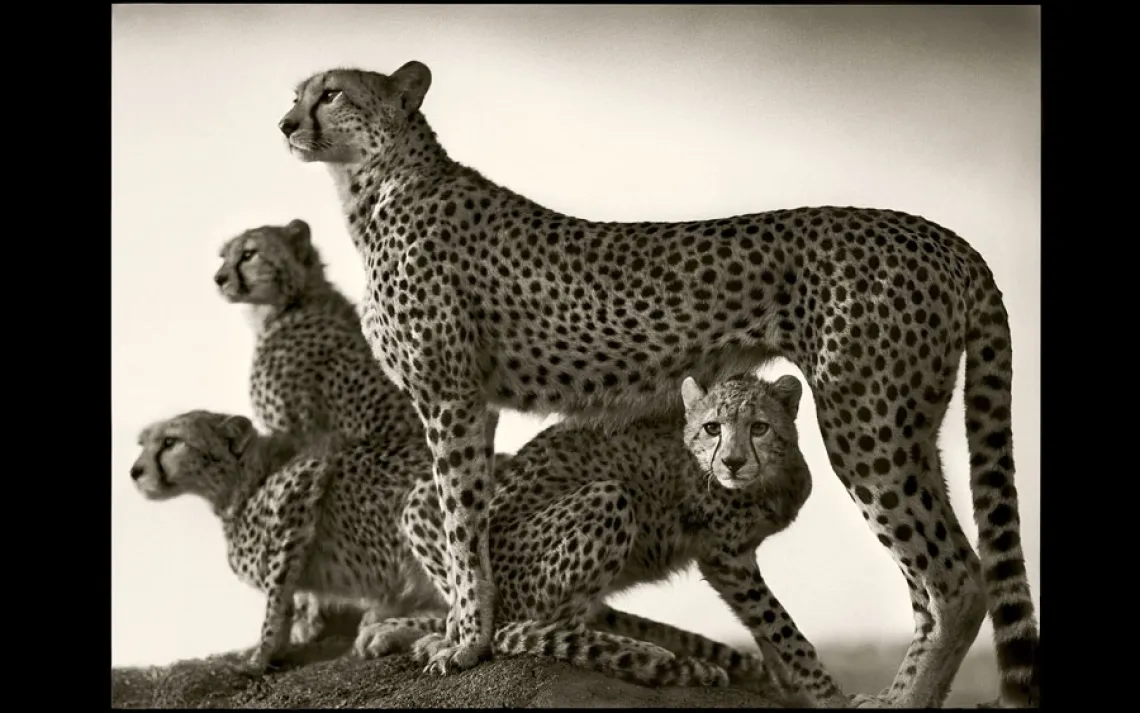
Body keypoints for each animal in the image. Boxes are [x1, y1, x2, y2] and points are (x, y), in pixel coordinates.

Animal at [127, 409, 444, 672]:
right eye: (143, 444)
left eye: (170, 442)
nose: (134, 472)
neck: (245, 479)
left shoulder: (303, 480)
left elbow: (276, 594)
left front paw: (261, 655)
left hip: (418, 502)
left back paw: (400, 633)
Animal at [353, 373, 819, 699]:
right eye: (712, 428)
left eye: (759, 427)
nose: (734, 463)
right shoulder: (726, 556)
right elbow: (781, 627)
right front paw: (824, 689)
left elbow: (767, 629)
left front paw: (788, 683)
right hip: (607, 499)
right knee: (539, 629)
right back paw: (655, 658)